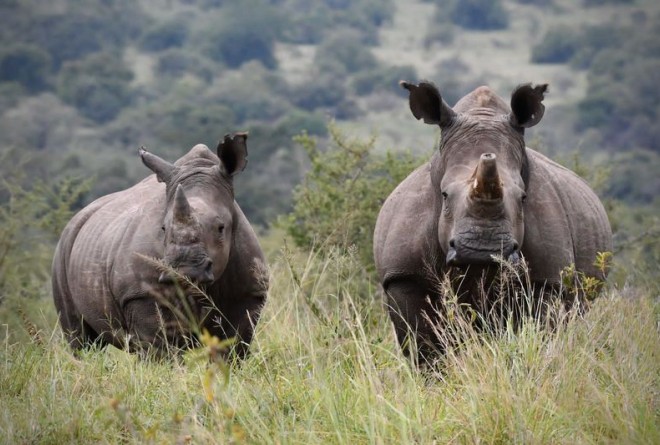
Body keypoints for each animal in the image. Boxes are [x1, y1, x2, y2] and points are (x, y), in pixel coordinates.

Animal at [52, 134, 268, 360]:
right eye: (163, 228)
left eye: (221, 228)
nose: (185, 270)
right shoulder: (143, 295)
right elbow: (160, 351)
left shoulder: (248, 294)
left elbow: (232, 349)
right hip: (65, 247)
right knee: (81, 338)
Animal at [374, 80, 612, 364]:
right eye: (444, 195)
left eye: (523, 197)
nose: (482, 250)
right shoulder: (404, 276)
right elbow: (423, 347)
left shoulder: (548, 280)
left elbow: (537, 334)